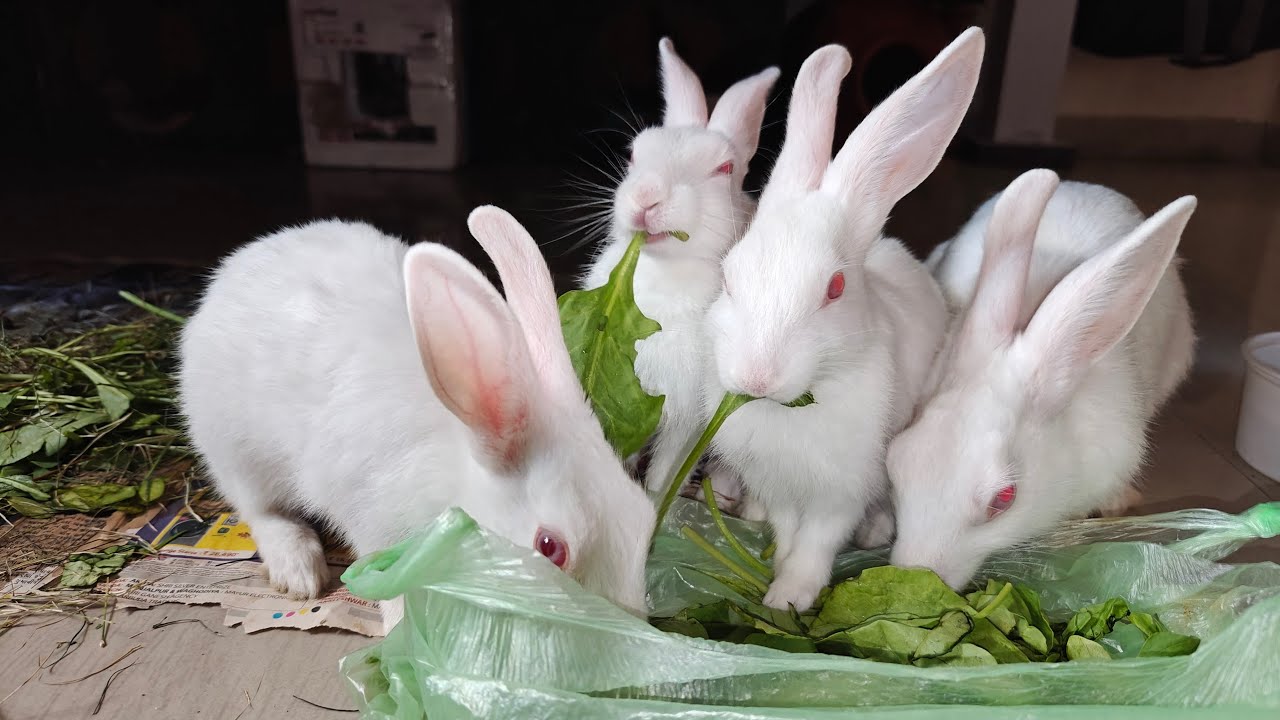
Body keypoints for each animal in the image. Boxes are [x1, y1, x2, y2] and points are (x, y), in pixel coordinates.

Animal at [177, 207, 657, 632]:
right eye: (549, 547)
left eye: (646, 515)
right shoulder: (373, 520)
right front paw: (399, 626)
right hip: (235, 451)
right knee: (258, 510)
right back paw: (298, 568)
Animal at [581, 38, 779, 501]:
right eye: (633, 154)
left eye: (724, 169)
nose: (646, 197)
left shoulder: (688, 420)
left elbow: (664, 473)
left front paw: (656, 507)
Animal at [702, 28, 985, 611]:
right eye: (728, 275)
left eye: (834, 289)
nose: (756, 377)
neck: (794, 406)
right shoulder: (780, 485)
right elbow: (788, 529)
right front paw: (779, 584)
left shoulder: (841, 494)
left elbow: (817, 542)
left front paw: (789, 598)